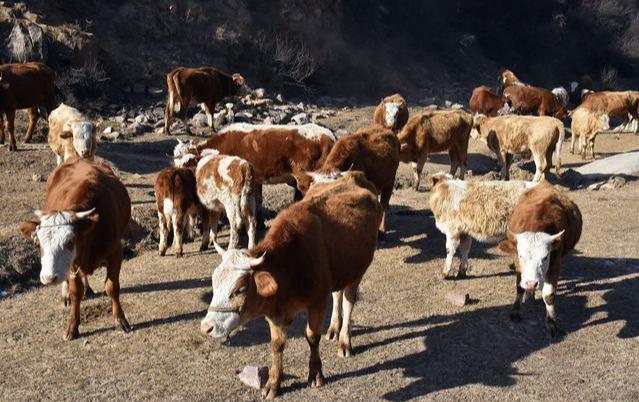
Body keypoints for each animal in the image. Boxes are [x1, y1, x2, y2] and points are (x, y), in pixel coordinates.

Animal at [20, 157, 131, 340]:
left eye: (70, 241)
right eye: (38, 244)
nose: (48, 278)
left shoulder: (116, 252)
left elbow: (112, 287)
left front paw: (120, 320)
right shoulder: (73, 264)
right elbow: (75, 292)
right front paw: (72, 327)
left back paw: (88, 289)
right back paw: (65, 295)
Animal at [200, 172, 380, 398]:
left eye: (239, 289)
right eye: (214, 285)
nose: (206, 327)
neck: (290, 263)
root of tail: (352, 174)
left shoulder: (318, 302)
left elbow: (312, 336)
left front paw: (315, 374)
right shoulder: (274, 313)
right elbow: (277, 345)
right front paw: (273, 383)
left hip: (357, 271)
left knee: (348, 301)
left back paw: (344, 341)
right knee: (337, 295)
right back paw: (333, 329)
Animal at [500, 184, 584, 338]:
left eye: (545, 257)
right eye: (521, 256)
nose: (531, 283)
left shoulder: (555, 263)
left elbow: (549, 295)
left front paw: (551, 322)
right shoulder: (517, 262)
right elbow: (519, 286)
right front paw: (515, 311)